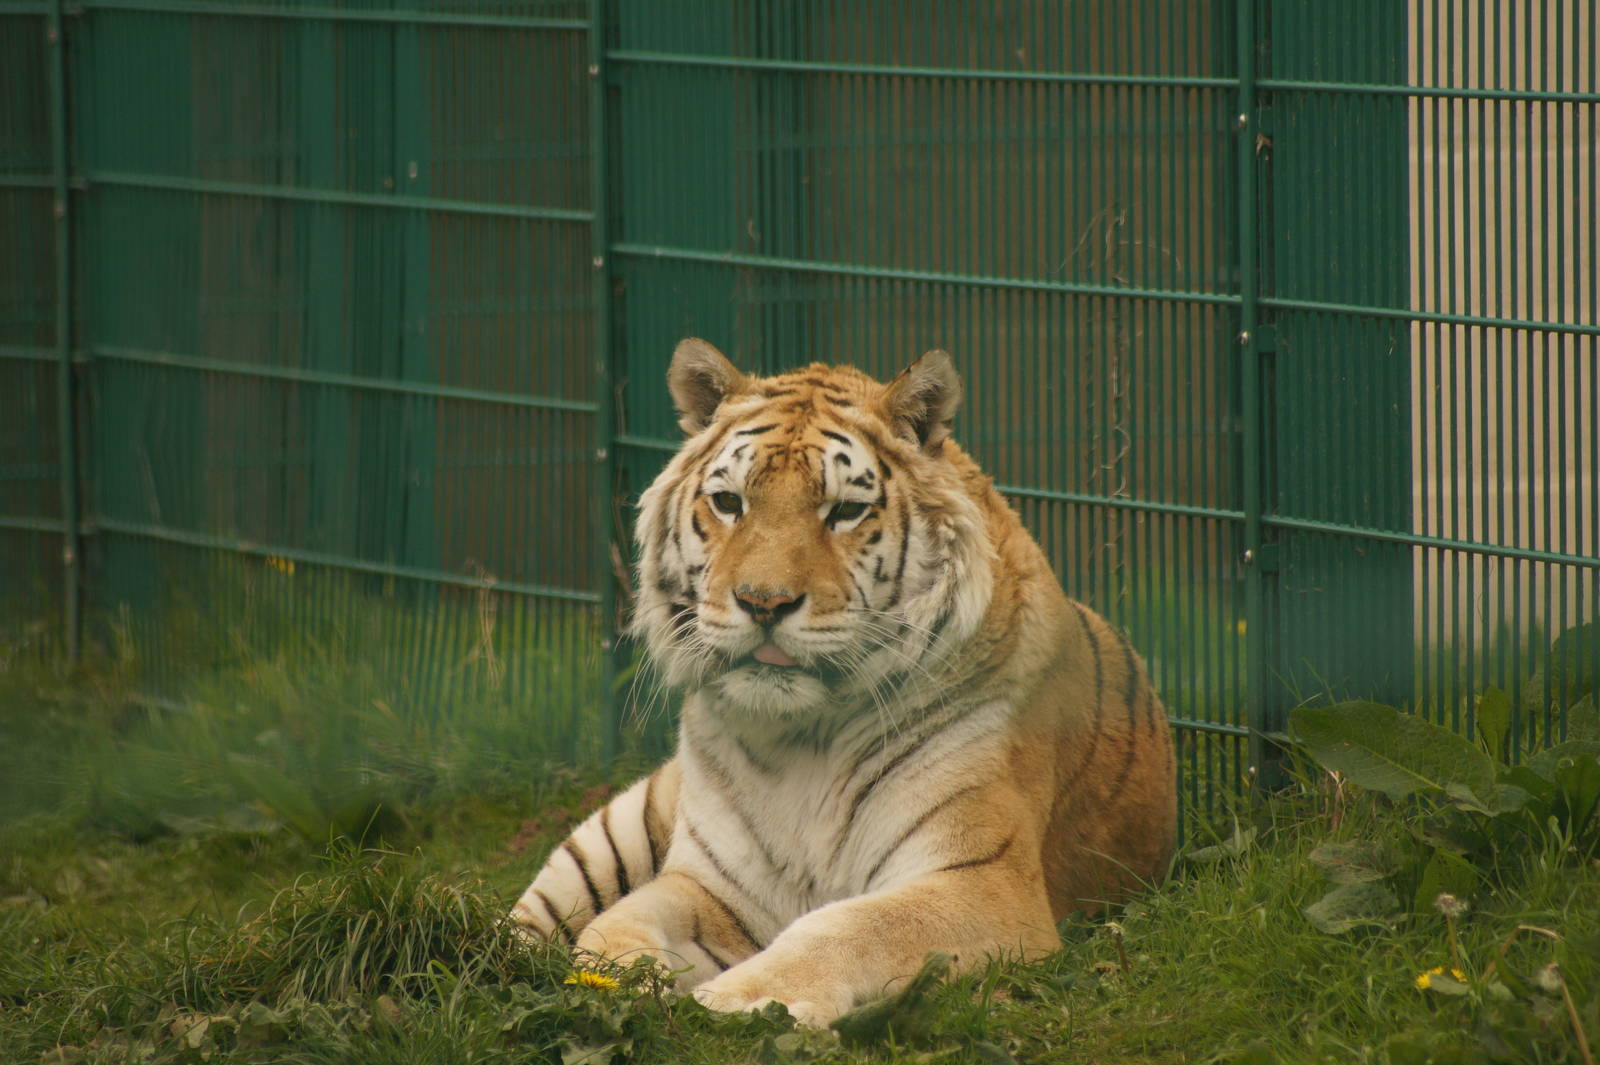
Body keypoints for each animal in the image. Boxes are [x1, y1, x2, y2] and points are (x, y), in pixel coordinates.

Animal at [511, 338, 1176, 1027]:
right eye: (729, 503)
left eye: (846, 512)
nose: (764, 602)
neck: (802, 739)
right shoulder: (713, 887)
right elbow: (622, 918)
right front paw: (619, 977)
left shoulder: (983, 881)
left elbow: (852, 927)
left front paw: (742, 997)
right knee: (526, 922)